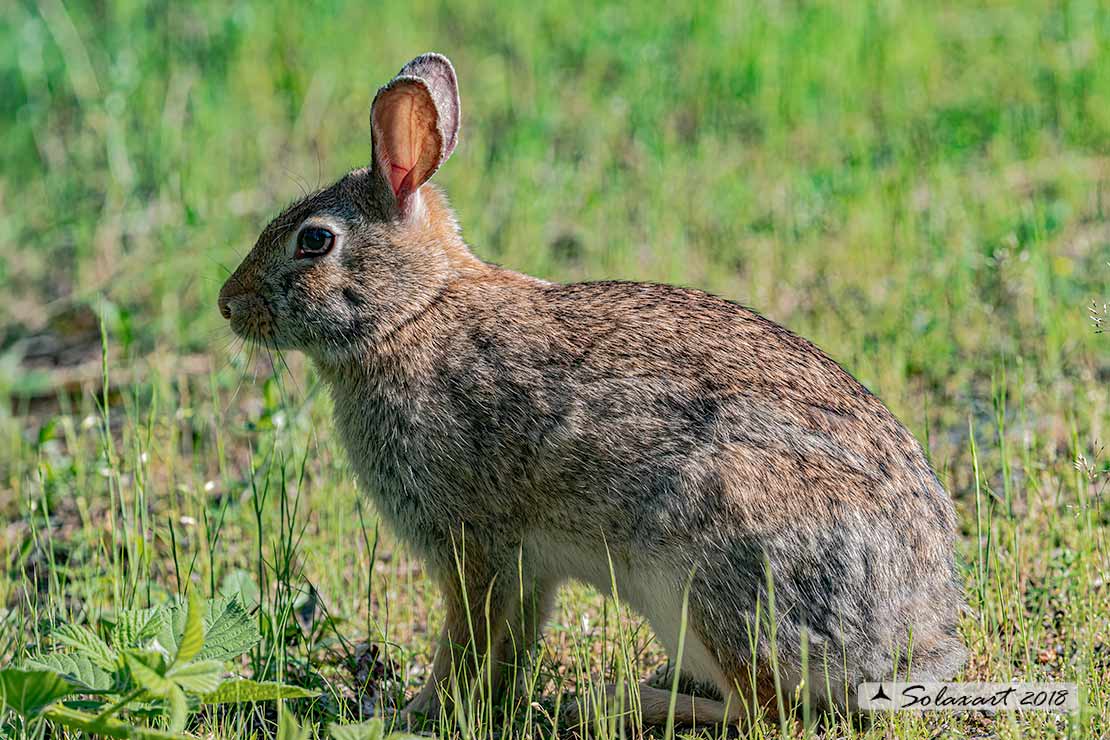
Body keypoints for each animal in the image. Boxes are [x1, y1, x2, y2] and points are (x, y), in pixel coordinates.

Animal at [218, 53, 967, 727]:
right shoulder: (527, 569)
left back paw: (615, 701)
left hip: (711, 573)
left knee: (764, 708)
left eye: (314, 241)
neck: (414, 312)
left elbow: (465, 642)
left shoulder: (473, 544)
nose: (228, 304)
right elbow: (510, 646)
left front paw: (412, 713)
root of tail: (908, 642)